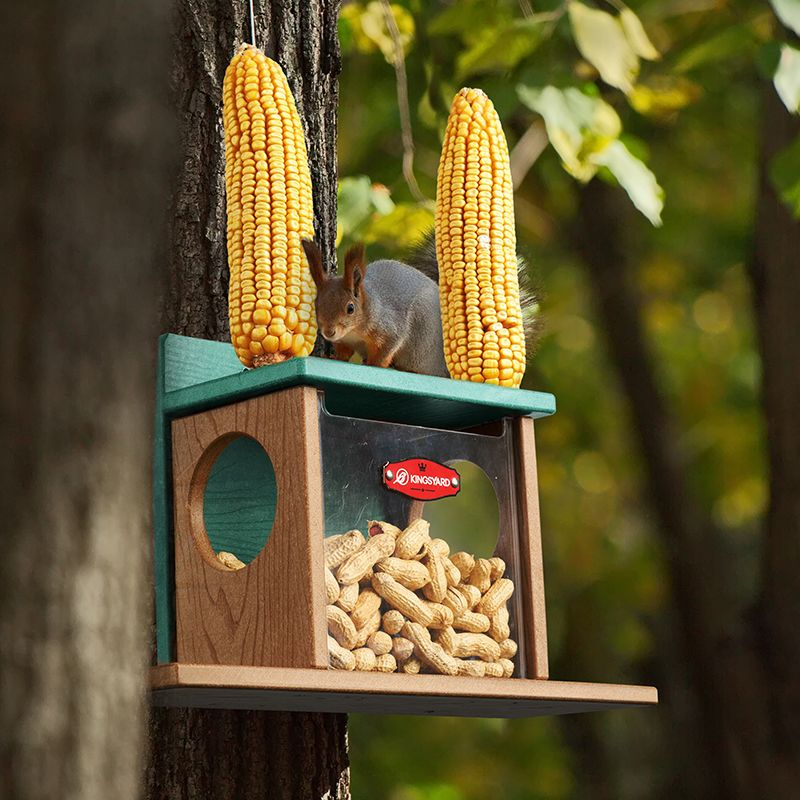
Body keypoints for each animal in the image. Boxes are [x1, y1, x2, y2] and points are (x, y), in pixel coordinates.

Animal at [301, 236, 540, 378]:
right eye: (316, 304)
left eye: (350, 308)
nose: (329, 332)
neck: (355, 330)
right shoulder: (345, 341)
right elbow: (344, 353)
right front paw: (333, 357)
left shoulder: (390, 327)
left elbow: (387, 349)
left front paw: (374, 364)